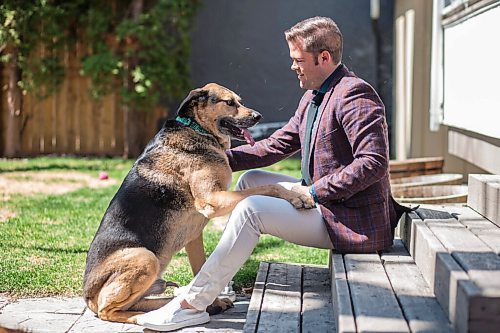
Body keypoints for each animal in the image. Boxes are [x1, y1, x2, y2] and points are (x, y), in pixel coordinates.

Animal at [84, 81, 314, 322]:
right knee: (108, 311)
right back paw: (141, 317)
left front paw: (211, 304)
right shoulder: (213, 200)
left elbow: (200, 270)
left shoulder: (194, 236)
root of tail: (87, 296)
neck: (198, 128)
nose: (258, 116)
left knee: (135, 303)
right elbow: (270, 187)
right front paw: (299, 196)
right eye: (229, 102)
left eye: (239, 101)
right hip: (145, 258)